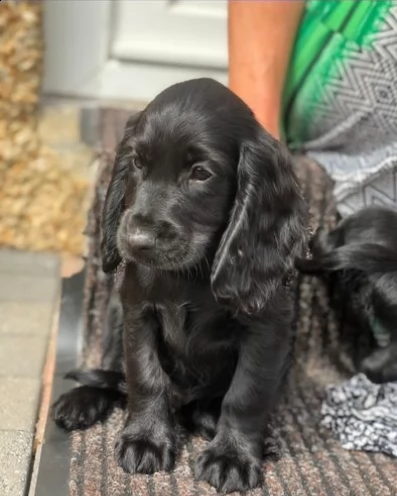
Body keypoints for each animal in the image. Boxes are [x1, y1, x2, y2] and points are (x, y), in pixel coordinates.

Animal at [51, 77, 306, 492]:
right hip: (114, 314)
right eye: (137, 163)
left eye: (201, 173)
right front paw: (146, 438)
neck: (192, 274)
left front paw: (233, 455)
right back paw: (81, 399)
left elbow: (246, 394)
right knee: (114, 374)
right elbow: (144, 376)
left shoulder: (267, 330)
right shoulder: (137, 312)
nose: (136, 240)